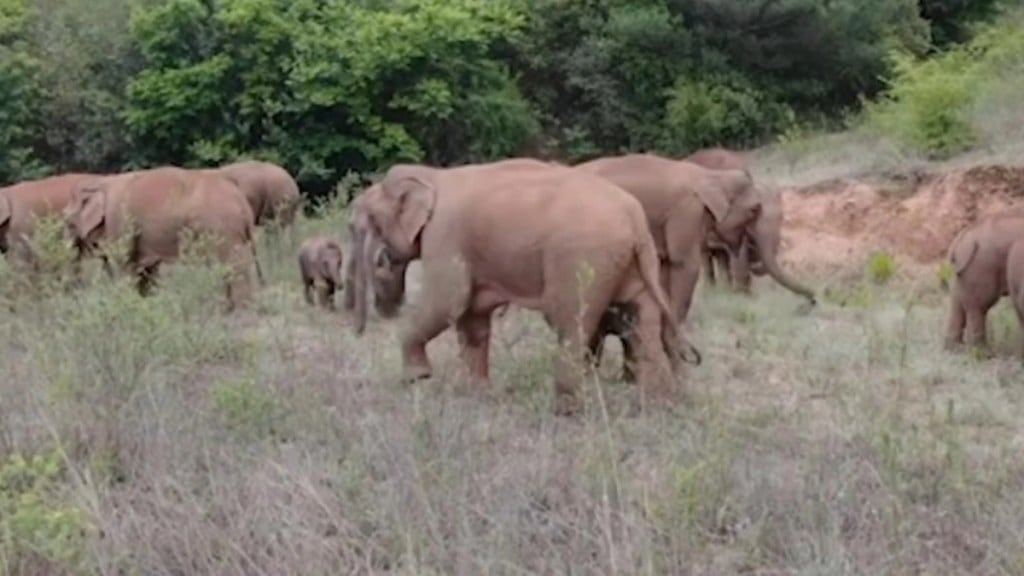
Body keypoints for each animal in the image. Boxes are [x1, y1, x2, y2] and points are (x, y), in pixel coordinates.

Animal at [63, 166, 262, 309]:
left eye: (68, 223)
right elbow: (147, 271)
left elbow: (125, 265)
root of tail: (243, 204)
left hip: (223, 228)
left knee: (233, 265)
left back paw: (239, 310)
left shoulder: (119, 220)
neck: (101, 182)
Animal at [356, 156, 700, 414]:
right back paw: (659, 405)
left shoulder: (445, 234)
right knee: (642, 324)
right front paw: (479, 394)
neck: (432, 176)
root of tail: (635, 220)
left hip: (581, 258)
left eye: (367, 220)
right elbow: (473, 319)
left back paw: (567, 411)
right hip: (634, 264)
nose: (383, 260)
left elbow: (448, 299)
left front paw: (416, 379)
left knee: (569, 324)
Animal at [937, 206, 1024, 350]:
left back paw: (954, 349)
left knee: (957, 304)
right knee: (979, 307)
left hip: (961, 271)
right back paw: (982, 351)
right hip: (982, 264)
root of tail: (963, 238)